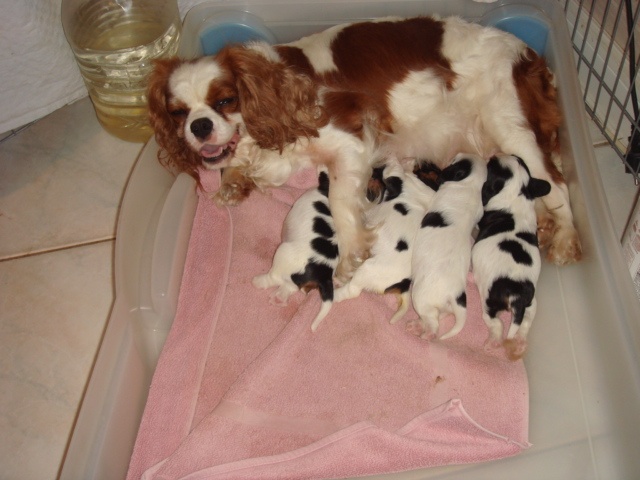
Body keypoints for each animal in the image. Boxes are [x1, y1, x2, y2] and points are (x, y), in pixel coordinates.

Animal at [148, 15, 584, 282]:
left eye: (225, 101)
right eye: (178, 113)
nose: (199, 126)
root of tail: (530, 55)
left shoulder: (349, 138)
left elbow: (341, 201)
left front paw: (350, 254)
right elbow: (233, 167)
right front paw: (233, 183)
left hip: (510, 124)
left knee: (558, 184)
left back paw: (565, 239)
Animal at [252, 170, 340, 326]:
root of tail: (324, 274)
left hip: (283, 252)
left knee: (274, 278)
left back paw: (258, 282)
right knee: (290, 287)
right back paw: (279, 298)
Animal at [312, 159, 438, 332]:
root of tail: (403, 284)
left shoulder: (399, 178)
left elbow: (395, 169)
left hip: (368, 269)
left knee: (352, 290)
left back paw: (335, 292)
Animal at [410, 155, 484, 342]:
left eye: (455, 160)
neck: (470, 185)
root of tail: (455, 295)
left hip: (420, 297)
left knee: (433, 322)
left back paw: (425, 333)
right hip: (444, 307)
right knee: (441, 315)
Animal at [472, 154, 552, 360]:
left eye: (492, 165)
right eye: (519, 159)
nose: (493, 155)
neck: (517, 193)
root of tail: (517, 294)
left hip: (490, 302)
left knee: (497, 323)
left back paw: (493, 343)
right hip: (532, 303)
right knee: (525, 323)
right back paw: (520, 343)